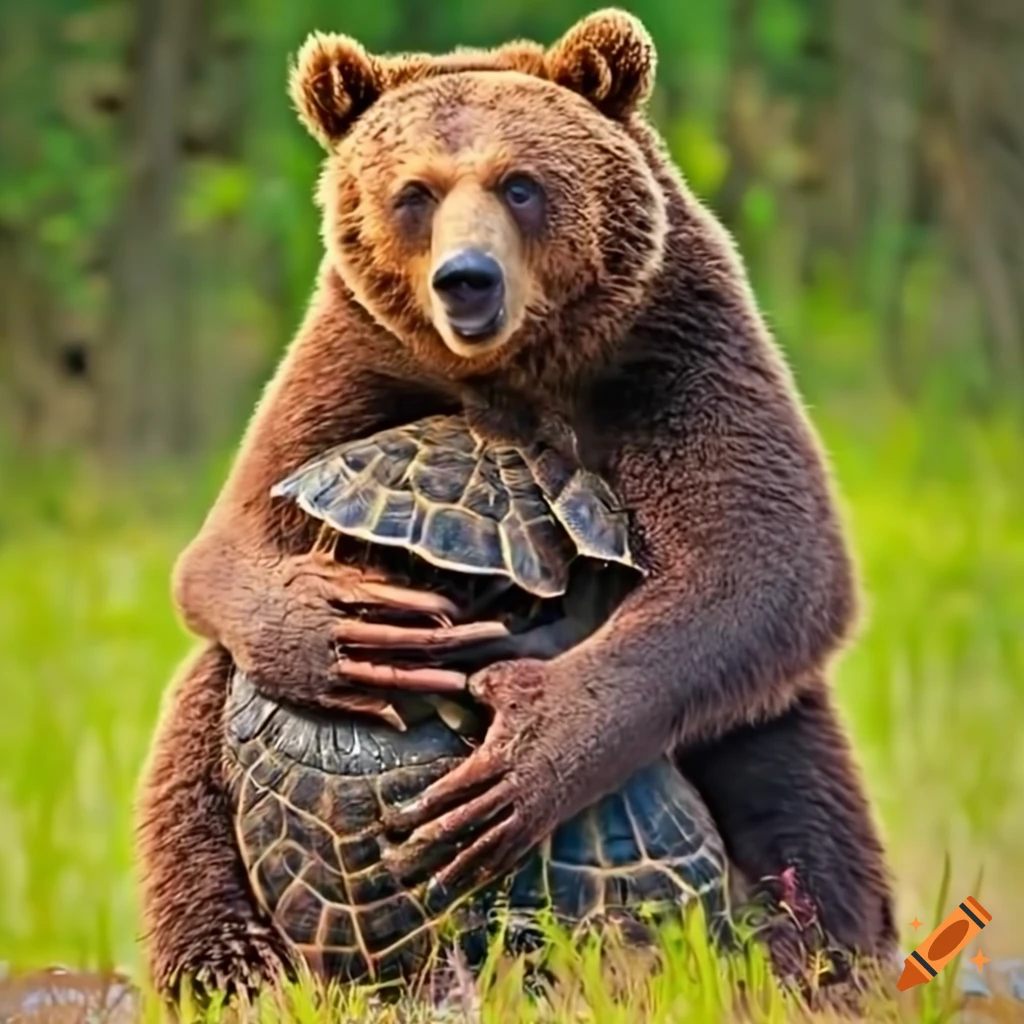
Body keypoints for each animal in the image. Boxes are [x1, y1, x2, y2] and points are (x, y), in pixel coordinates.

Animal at [136, 8, 897, 1001]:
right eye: (413, 193)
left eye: (521, 184)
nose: (467, 279)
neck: (517, 372)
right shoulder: (356, 360)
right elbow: (231, 545)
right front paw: (348, 632)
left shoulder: (673, 352)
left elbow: (761, 562)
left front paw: (523, 762)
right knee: (195, 743)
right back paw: (229, 966)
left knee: (797, 790)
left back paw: (818, 955)